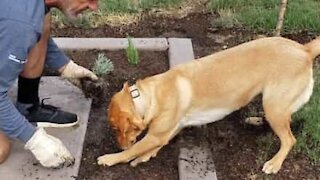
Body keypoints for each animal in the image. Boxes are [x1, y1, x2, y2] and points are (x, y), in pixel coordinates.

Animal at [97, 37, 320, 174]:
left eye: (116, 129)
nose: (118, 145)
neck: (148, 96)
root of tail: (304, 49)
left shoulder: (156, 134)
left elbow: (134, 149)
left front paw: (113, 157)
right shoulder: (170, 129)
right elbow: (157, 145)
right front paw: (145, 156)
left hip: (274, 107)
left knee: (289, 139)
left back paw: (275, 163)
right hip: (274, 106)